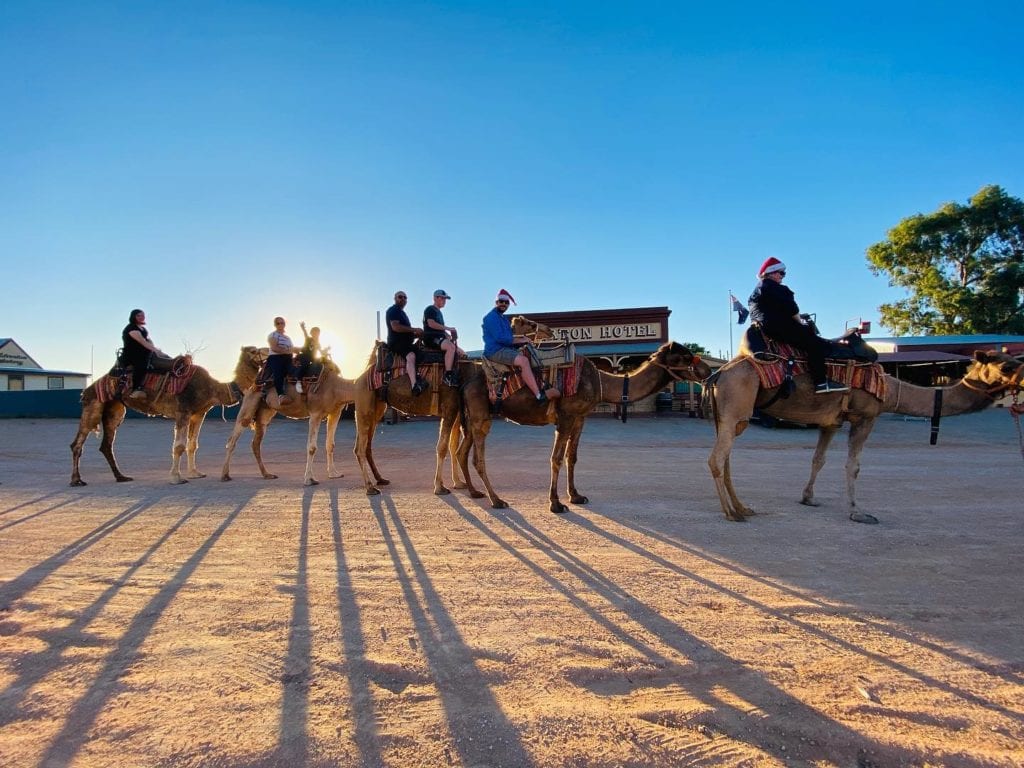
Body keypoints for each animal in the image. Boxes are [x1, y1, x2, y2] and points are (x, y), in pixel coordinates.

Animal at [69, 348, 262, 487]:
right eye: (254, 350)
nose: (266, 352)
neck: (211, 388)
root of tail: (86, 391)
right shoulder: (183, 411)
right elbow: (179, 446)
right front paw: (177, 478)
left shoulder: (199, 413)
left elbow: (193, 445)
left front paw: (195, 473)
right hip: (94, 405)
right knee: (78, 443)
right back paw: (76, 480)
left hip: (114, 409)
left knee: (106, 445)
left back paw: (121, 477)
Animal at [220, 356, 360, 487]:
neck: (335, 386)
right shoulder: (315, 413)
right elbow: (312, 447)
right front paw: (309, 479)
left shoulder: (335, 413)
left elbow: (330, 444)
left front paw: (334, 473)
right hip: (250, 401)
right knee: (233, 438)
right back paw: (225, 475)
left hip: (265, 412)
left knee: (256, 443)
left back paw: (267, 474)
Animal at [352, 313, 548, 499]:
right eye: (527, 323)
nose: (546, 330)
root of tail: (362, 375)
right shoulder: (450, 408)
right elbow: (443, 447)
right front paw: (440, 487)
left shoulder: (456, 411)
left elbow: (453, 446)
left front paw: (458, 483)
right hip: (364, 404)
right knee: (360, 447)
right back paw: (370, 488)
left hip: (377, 408)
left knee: (366, 445)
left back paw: (380, 479)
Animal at [458, 342, 712, 512]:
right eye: (683, 357)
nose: (707, 370)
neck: (600, 382)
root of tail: (466, 383)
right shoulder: (566, 416)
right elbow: (556, 458)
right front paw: (555, 503)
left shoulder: (580, 418)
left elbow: (572, 457)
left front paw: (576, 496)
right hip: (481, 416)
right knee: (477, 458)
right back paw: (497, 500)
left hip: (473, 418)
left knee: (462, 452)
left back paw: (474, 492)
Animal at [708, 352, 1024, 528]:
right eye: (1006, 367)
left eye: (1015, 362)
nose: (1022, 379)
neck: (891, 390)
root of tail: (718, 374)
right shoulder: (866, 416)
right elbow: (853, 466)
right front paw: (859, 513)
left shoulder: (831, 422)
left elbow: (818, 459)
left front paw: (808, 498)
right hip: (736, 407)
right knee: (716, 459)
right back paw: (731, 514)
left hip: (732, 416)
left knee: (726, 458)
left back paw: (742, 507)